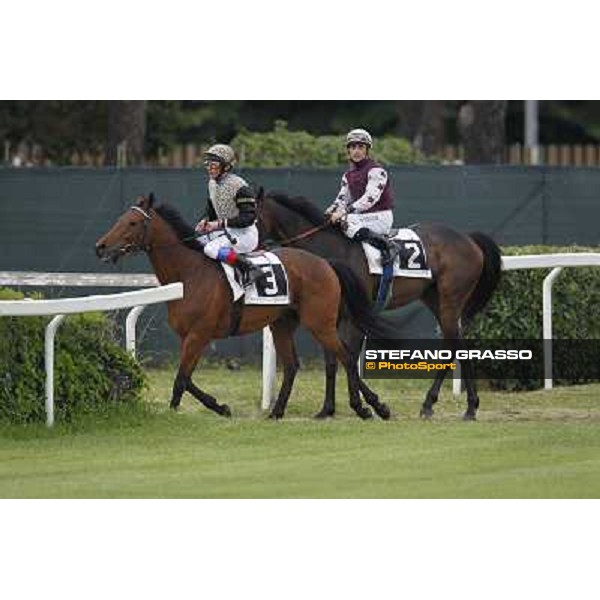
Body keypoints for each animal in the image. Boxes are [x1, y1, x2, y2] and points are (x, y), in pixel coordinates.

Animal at [96, 195, 396, 420]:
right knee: (293, 365)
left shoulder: (199, 335)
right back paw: (277, 412)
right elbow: (187, 378)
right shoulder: (190, 337)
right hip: (282, 323)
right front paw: (220, 406)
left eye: (133, 222)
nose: (101, 246)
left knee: (344, 357)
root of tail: (326, 263)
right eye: (119, 220)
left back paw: (364, 408)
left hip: (320, 323)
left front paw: (175, 413)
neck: (189, 273)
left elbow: (181, 379)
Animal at [258, 192, 502, 422]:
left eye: (252, 216)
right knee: (456, 344)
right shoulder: (329, 318)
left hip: (450, 300)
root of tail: (469, 239)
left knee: (454, 345)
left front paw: (373, 406)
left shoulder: (353, 318)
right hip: (435, 300)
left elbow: (348, 357)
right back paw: (452, 405)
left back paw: (454, 406)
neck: (330, 248)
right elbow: (332, 361)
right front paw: (327, 409)